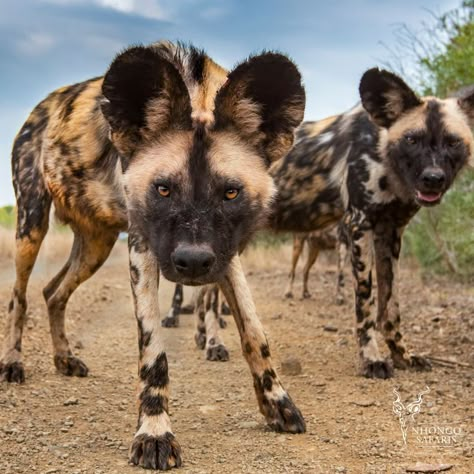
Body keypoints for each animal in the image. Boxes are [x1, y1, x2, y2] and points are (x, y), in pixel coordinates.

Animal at [0, 41, 308, 470]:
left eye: (230, 193)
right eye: (163, 189)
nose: (192, 262)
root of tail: (41, 107)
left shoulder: (224, 253)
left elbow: (254, 331)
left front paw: (278, 404)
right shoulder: (142, 246)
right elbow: (154, 352)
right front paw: (155, 433)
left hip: (97, 244)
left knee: (53, 293)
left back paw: (65, 359)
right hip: (32, 225)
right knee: (20, 297)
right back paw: (13, 363)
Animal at [270, 67, 474, 378]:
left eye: (453, 142)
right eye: (411, 140)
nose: (433, 178)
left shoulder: (390, 233)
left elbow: (391, 307)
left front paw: (403, 356)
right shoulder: (360, 226)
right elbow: (365, 304)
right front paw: (371, 359)